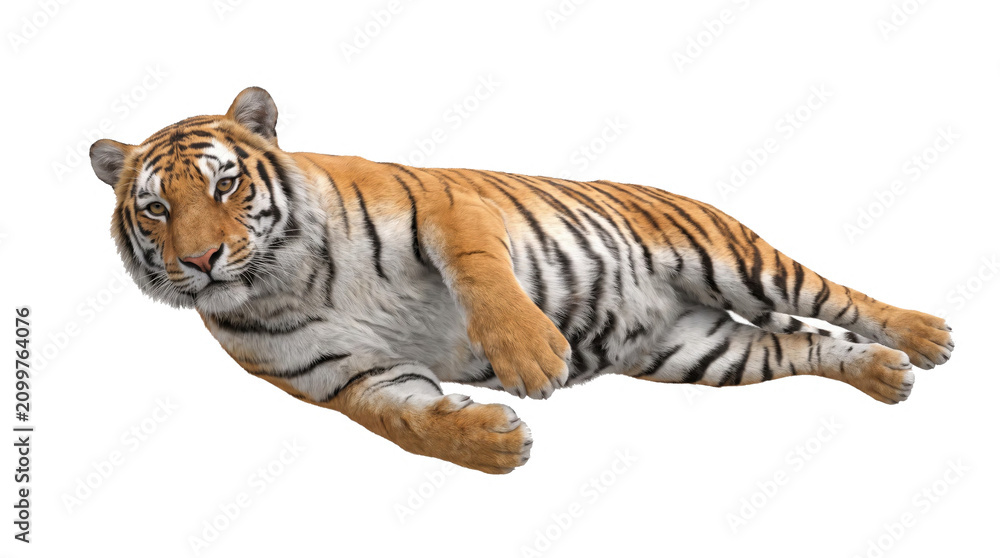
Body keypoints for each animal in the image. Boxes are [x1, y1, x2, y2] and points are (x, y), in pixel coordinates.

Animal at [89, 87, 954, 474]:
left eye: (227, 184)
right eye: (158, 208)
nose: (202, 260)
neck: (284, 277)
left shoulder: (447, 209)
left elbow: (485, 281)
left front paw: (533, 359)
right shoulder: (347, 374)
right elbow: (408, 422)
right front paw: (494, 444)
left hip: (735, 258)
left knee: (838, 300)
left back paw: (925, 337)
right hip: (699, 351)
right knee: (803, 346)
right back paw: (885, 376)